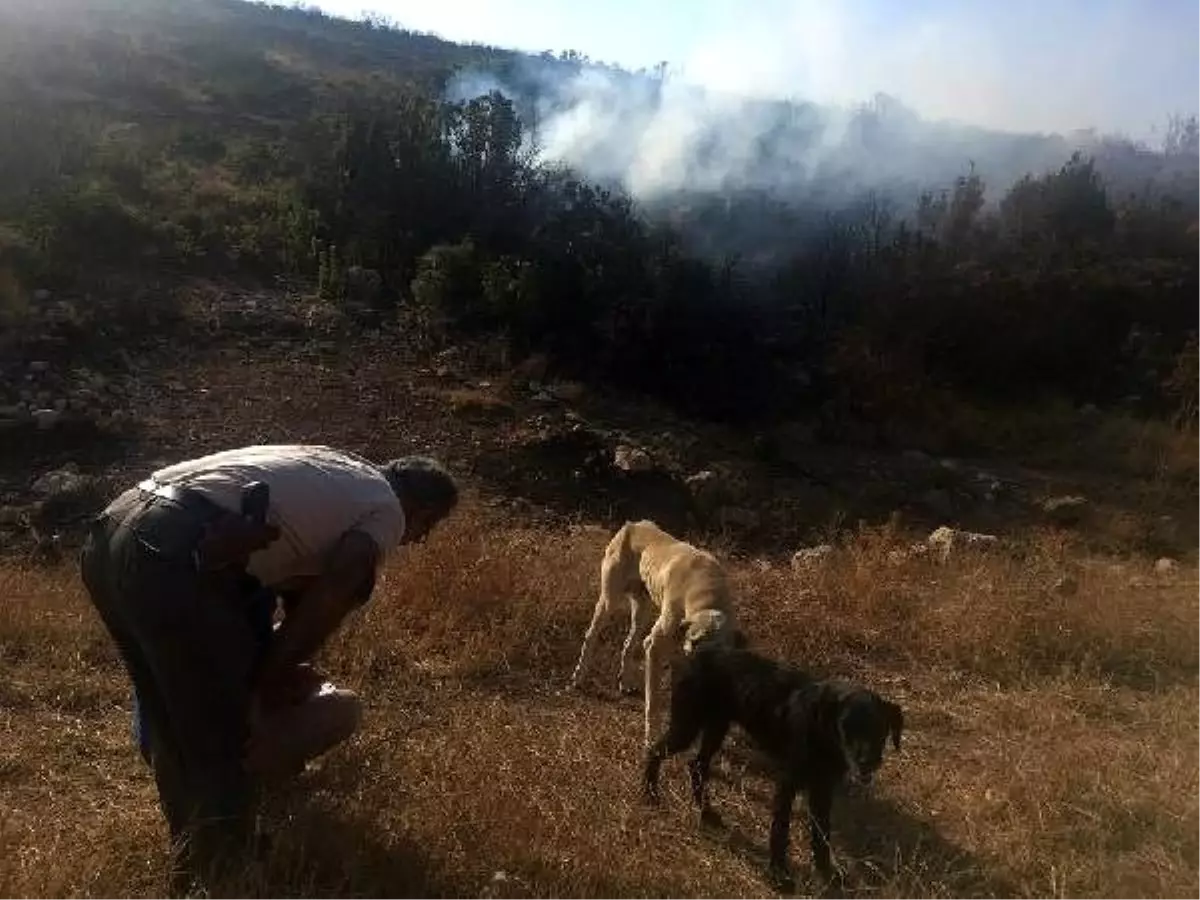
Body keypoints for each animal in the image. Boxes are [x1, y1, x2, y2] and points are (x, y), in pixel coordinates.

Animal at [568, 520, 744, 748]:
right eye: (696, 642)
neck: (706, 593)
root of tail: (632, 525)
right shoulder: (654, 647)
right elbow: (653, 702)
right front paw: (651, 739)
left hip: (640, 613)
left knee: (628, 645)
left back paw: (625, 682)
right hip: (608, 602)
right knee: (590, 637)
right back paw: (578, 677)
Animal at [643, 648, 902, 888]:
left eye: (880, 727)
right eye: (845, 726)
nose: (866, 761)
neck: (821, 731)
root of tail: (692, 657)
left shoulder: (822, 790)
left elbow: (822, 836)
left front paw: (826, 872)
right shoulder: (787, 783)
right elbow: (780, 829)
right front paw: (779, 874)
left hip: (716, 727)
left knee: (697, 765)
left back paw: (706, 813)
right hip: (687, 726)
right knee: (654, 751)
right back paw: (650, 794)